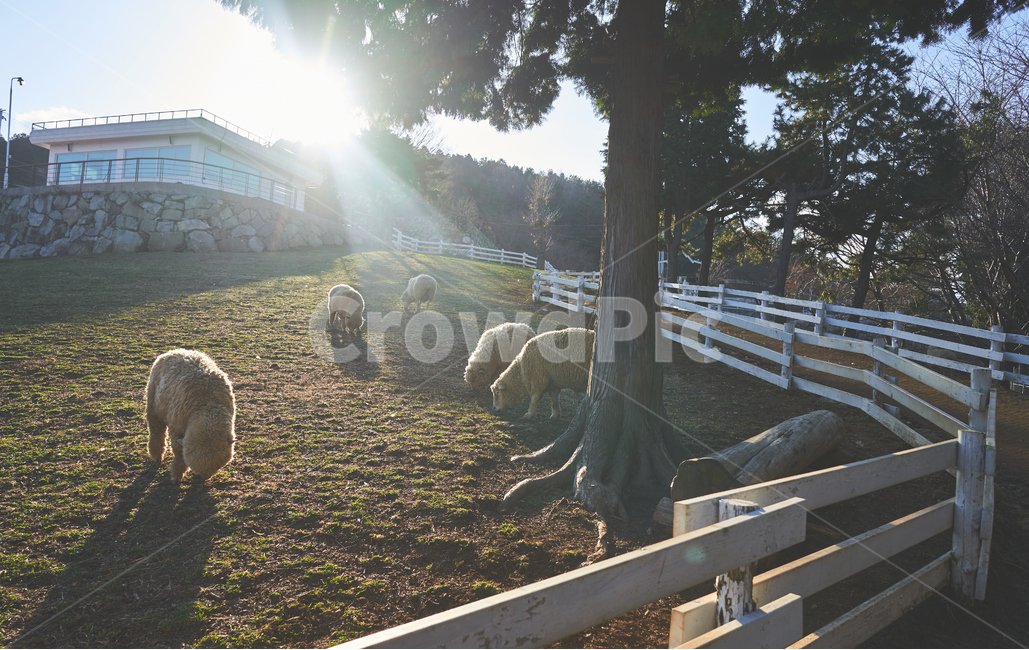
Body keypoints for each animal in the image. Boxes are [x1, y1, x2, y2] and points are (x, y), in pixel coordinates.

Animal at [145, 349, 236, 485]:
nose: (204, 478)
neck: (208, 405)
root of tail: (176, 350)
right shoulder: (176, 428)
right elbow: (179, 453)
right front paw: (176, 475)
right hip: (153, 406)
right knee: (156, 431)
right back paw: (157, 456)